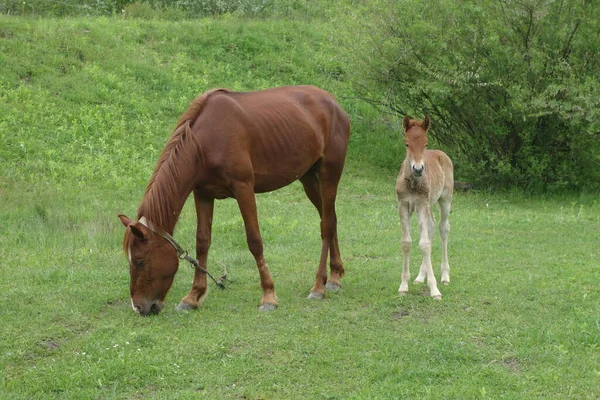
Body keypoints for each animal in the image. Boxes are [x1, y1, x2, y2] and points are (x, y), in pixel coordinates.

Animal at [118, 86, 352, 316]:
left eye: (139, 261)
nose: (139, 307)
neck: (204, 143)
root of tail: (332, 102)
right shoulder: (202, 194)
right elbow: (202, 242)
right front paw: (193, 297)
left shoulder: (244, 189)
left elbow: (254, 241)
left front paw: (268, 296)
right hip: (308, 178)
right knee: (331, 218)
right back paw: (335, 276)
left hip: (329, 174)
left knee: (326, 225)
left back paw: (319, 286)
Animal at [396, 114, 452, 298]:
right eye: (407, 143)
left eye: (425, 143)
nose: (418, 169)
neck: (413, 183)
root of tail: (442, 153)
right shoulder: (403, 204)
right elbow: (407, 242)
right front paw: (404, 285)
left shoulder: (421, 204)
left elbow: (424, 244)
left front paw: (434, 290)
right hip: (429, 204)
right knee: (432, 227)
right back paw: (421, 276)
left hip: (445, 200)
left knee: (443, 228)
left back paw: (445, 276)